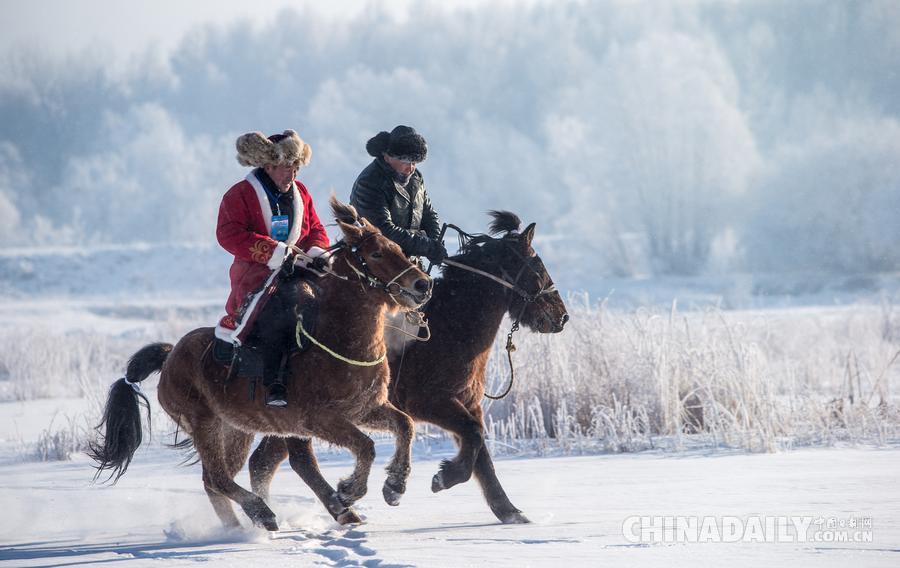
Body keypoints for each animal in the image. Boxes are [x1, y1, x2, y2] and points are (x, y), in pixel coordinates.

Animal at [90, 197, 432, 532]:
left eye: (399, 248)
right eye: (376, 253)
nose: (422, 284)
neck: (339, 342)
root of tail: (171, 355)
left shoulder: (365, 409)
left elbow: (405, 425)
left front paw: (394, 486)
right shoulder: (320, 419)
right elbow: (365, 445)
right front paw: (349, 490)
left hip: (236, 429)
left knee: (222, 477)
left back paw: (247, 523)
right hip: (204, 423)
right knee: (219, 476)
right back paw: (261, 514)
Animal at [250, 212, 568, 524]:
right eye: (536, 267)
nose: (561, 317)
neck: (450, 328)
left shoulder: (467, 404)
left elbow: (480, 452)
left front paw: (509, 511)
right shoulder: (431, 403)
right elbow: (474, 436)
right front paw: (441, 478)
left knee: (264, 460)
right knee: (297, 458)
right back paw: (338, 508)